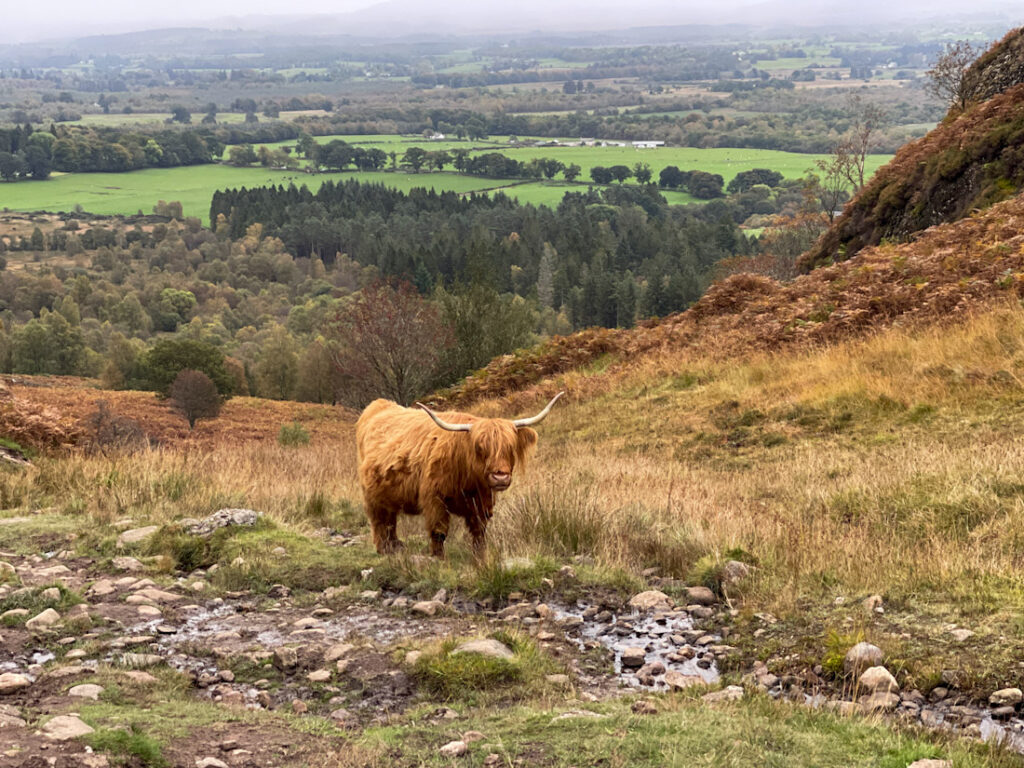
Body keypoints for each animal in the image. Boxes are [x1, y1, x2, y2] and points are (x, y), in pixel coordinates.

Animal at [355, 392, 563, 558]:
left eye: (510, 447)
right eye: (480, 447)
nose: (500, 477)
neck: (469, 482)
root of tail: (378, 405)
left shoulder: (482, 503)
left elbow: (479, 532)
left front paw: (480, 557)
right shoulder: (434, 499)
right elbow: (439, 532)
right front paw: (438, 558)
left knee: (390, 521)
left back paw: (396, 547)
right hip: (372, 496)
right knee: (380, 522)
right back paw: (384, 550)